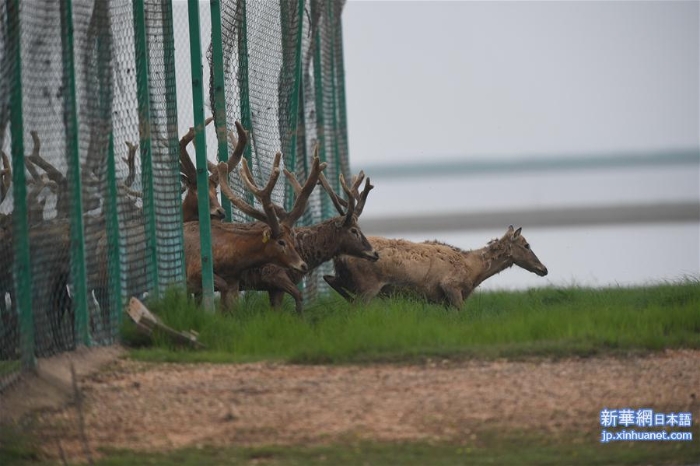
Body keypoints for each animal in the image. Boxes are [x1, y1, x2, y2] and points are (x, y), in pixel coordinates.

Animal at [238, 157, 380, 314]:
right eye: (354, 230)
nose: (375, 253)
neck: (303, 252)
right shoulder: (273, 274)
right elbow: (298, 296)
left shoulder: (274, 287)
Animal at [326, 226, 548, 310]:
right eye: (527, 245)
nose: (544, 269)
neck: (473, 270)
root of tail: (340, 256)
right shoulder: (451, 286)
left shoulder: (443, 301)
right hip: (368, 285)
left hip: (349, 280)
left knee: (329, 279)